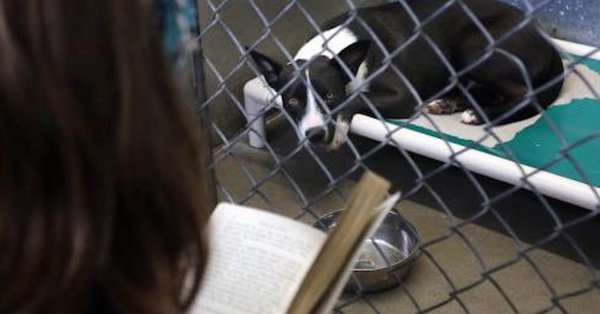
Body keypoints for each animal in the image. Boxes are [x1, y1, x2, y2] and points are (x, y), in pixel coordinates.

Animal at [247, 0, 564, 151]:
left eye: (330, 96)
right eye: (292, 103)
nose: (314, 136)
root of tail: (546, 41)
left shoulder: (402, 96)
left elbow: (357, 98)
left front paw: (339, 130)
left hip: (475, 48)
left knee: (523, 94)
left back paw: (480, 114)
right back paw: (450, 103)